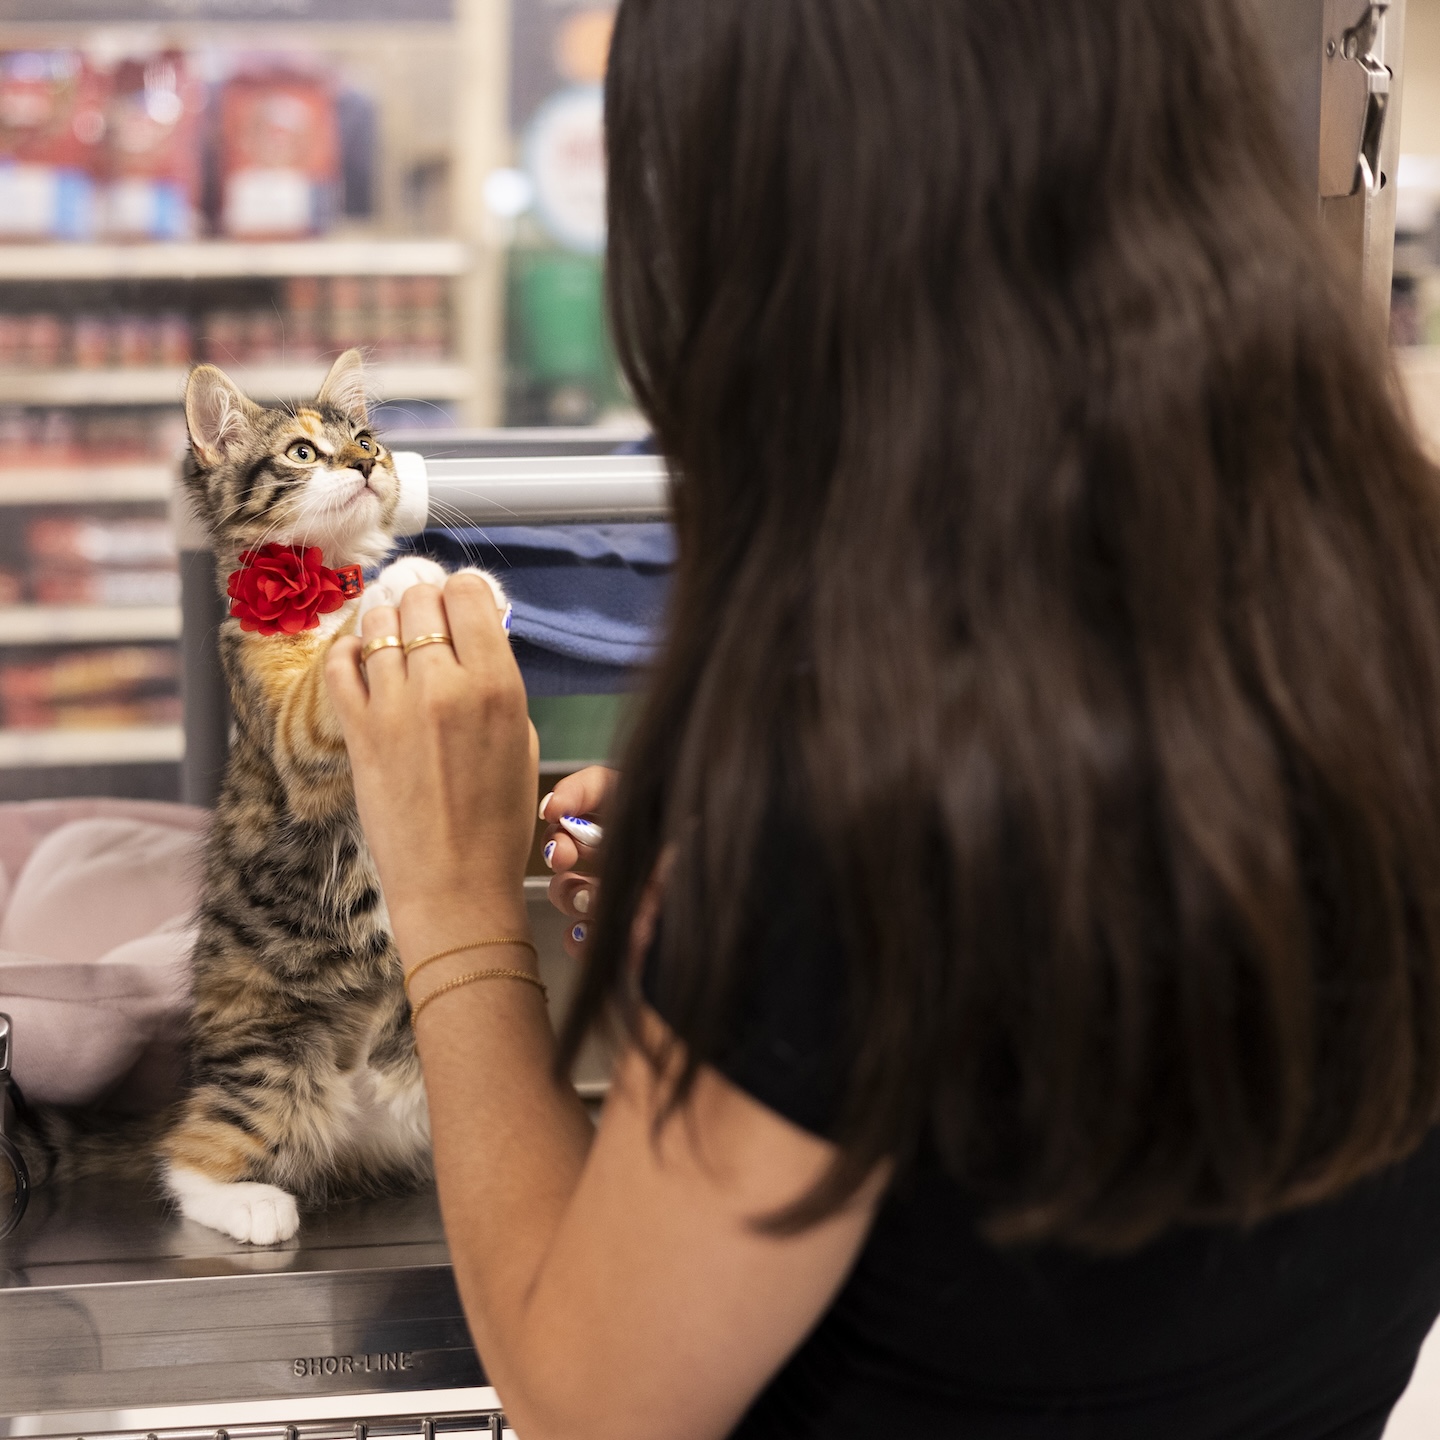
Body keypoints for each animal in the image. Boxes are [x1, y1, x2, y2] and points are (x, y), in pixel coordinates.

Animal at [19, 354, 504, 1244]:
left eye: (366, 438)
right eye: (303, 452)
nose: (365, 465)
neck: (318, 585)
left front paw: (464, 590)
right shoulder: (289, 731)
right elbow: (325, 682)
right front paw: (409, 580)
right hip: (273, 1067)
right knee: (187, 1155)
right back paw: (249, 1204)